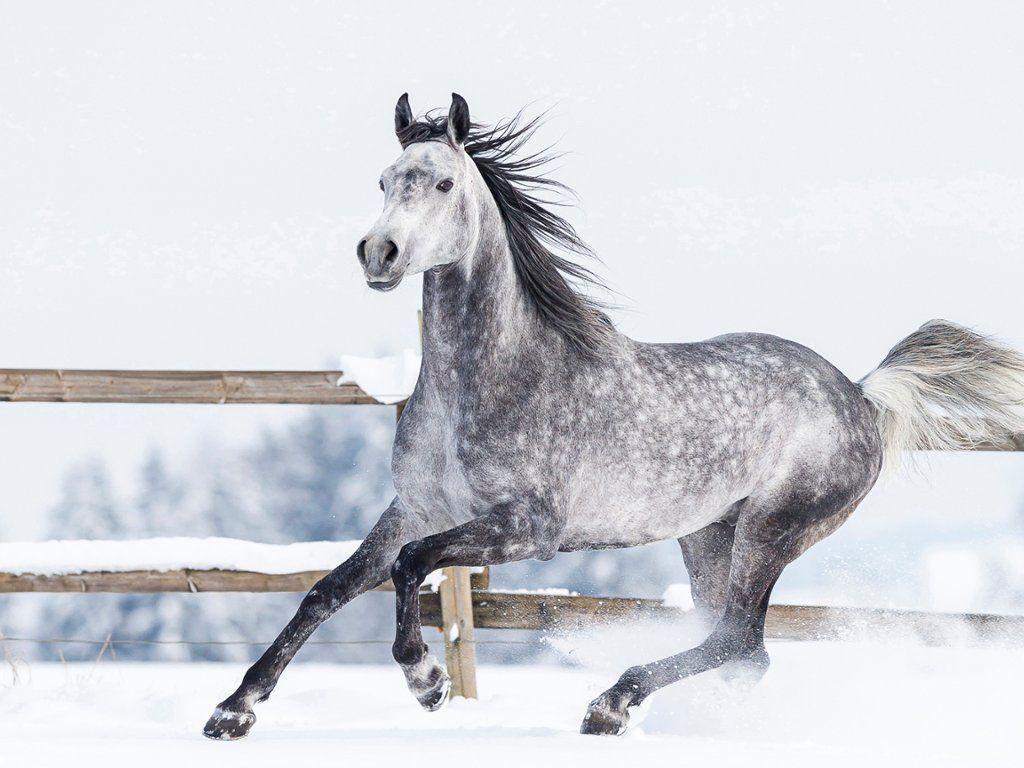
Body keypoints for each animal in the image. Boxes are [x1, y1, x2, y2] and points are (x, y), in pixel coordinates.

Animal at [204, 93, 1024, 739]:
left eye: (441, 181)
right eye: (382, 181)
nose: (380, 252)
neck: (490, 379)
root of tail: (859, 393)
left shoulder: (527, 530)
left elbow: (410, 569)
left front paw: (425, 680)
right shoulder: (414, 509)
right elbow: (326, 589)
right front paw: (233, 711)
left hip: (772, 529)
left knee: (739, 638)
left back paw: (610, 703)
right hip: (707, 536)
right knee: (745, 652)